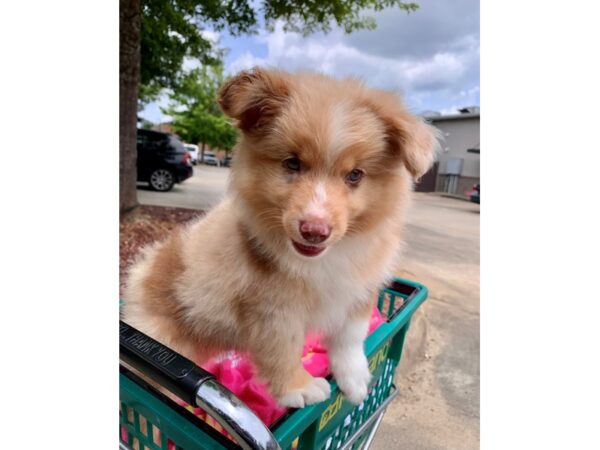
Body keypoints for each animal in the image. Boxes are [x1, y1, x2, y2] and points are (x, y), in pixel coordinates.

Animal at [123, 67, 440, 408]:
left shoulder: (357, 288)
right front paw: (299, 388)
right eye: (292, 163)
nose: (314, 231)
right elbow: (281, 350)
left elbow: (350, 337)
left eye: (355, 175)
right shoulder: (272, 310)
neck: (326, 258)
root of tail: (138, 277)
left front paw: (355, 379)